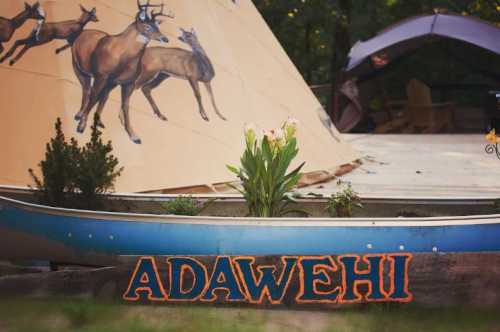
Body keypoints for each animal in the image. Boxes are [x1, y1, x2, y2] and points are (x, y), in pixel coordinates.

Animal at [71, 1, 171, 144]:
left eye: (157, 26)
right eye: (147, 26)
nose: (165, 38)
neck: (123, 58)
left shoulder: (128, 82)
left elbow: (125, 106)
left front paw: (134, 136)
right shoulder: (101, 75)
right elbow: (94, 96)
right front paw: (81, 126)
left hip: (110, 82)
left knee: (102, 96)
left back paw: (97, 121)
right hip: (78, 67)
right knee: (87, 90)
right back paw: (79, 115)